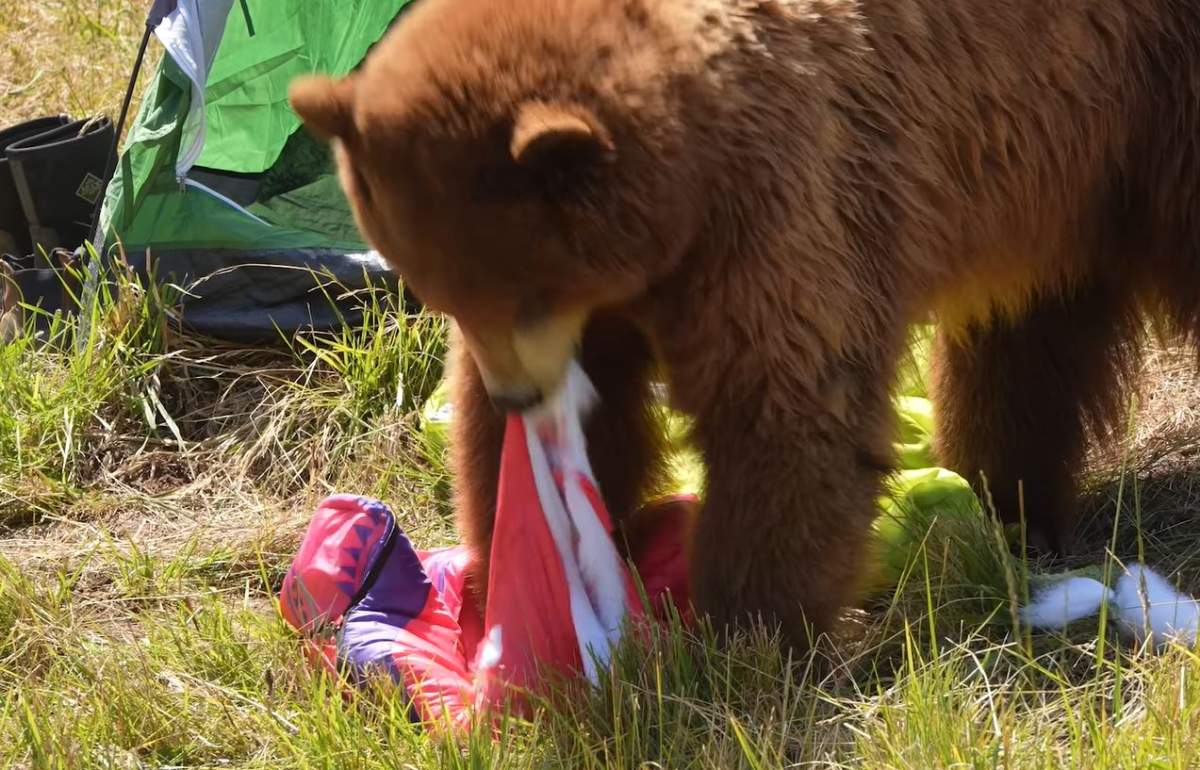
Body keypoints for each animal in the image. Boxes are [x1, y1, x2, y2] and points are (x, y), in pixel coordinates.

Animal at [289, 0, 1200, 649]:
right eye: (433, 288)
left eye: (528, 291)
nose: (521, 396)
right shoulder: (617, 297)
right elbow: (589, 414)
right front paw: (498, 575)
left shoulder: (785, 200)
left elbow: (783, 402)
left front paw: (746, 630)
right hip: (1063, 173)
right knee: (1028, 346)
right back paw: (1013, 508)